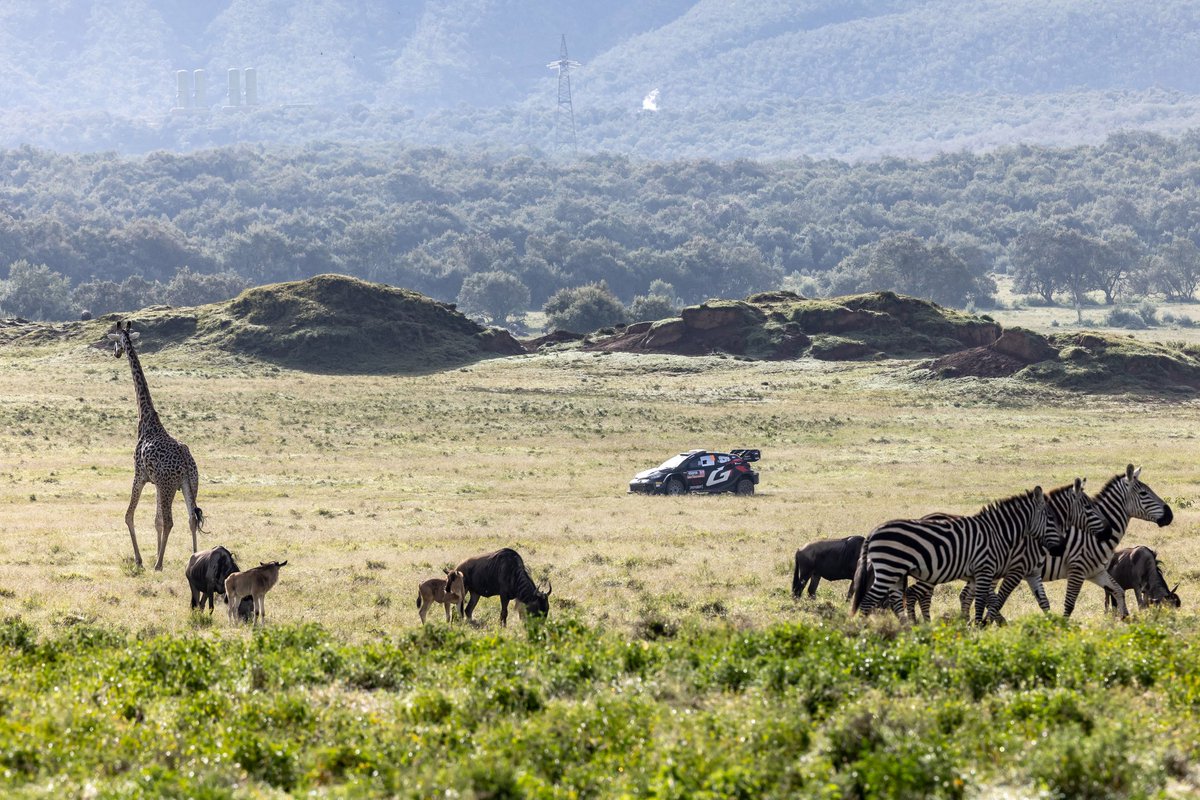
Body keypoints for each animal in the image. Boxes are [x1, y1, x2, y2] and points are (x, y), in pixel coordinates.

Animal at [108, 319, 204, 568]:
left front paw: (140, 559)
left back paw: (158, 565)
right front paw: (154, 553)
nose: (116, 353)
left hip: (169, 485)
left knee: (171, 520)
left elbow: (129, 515)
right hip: (190, 483)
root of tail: (185, 462)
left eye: (115, 341)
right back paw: (194, 557)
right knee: (191, 517)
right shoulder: (156, 483)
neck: (146, 417)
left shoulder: (140, 475)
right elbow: (156, 520)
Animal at [849, 484, 1056, 628]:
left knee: (895, 599)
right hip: (889, 568)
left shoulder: (979, 574)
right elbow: (981, 601)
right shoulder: (985, 568)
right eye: (1051, 518)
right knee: (868, 602)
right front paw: (979, 627)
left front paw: (974, 625)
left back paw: (907, 628)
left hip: (895, 572)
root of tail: (873, 531)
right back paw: (862, 630)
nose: (1059, 546)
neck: (997, 532)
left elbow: (977, 599)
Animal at [907, 479, 1104, 623]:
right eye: (1089, 506)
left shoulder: (1030, 572)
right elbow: (998, 599)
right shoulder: (1015, 569)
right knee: (916, 593)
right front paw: (987, 623)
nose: (1106, 531)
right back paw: (919, 623)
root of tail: (924, 517)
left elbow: (1042, 601)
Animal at [1027, 462, 1166, 618]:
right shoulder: (1077, 569)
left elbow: (1118, 592)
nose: (1170, 514)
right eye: (1144, 493)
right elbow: (1069, 605)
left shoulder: (1097, 571)